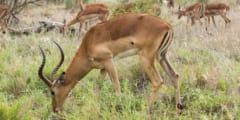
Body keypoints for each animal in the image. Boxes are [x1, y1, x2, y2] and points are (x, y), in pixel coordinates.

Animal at [39, 13, 184, 114]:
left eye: (52, 92)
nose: (55, 110)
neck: (89, 43)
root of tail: (167, 26)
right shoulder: (103, 68)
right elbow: (97, 89)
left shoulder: (109, 61)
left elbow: (117, 88)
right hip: (161, 56)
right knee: (174, 76)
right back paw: (178, 112)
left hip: (146, 58)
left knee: (158, 81)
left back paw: (144, 111)